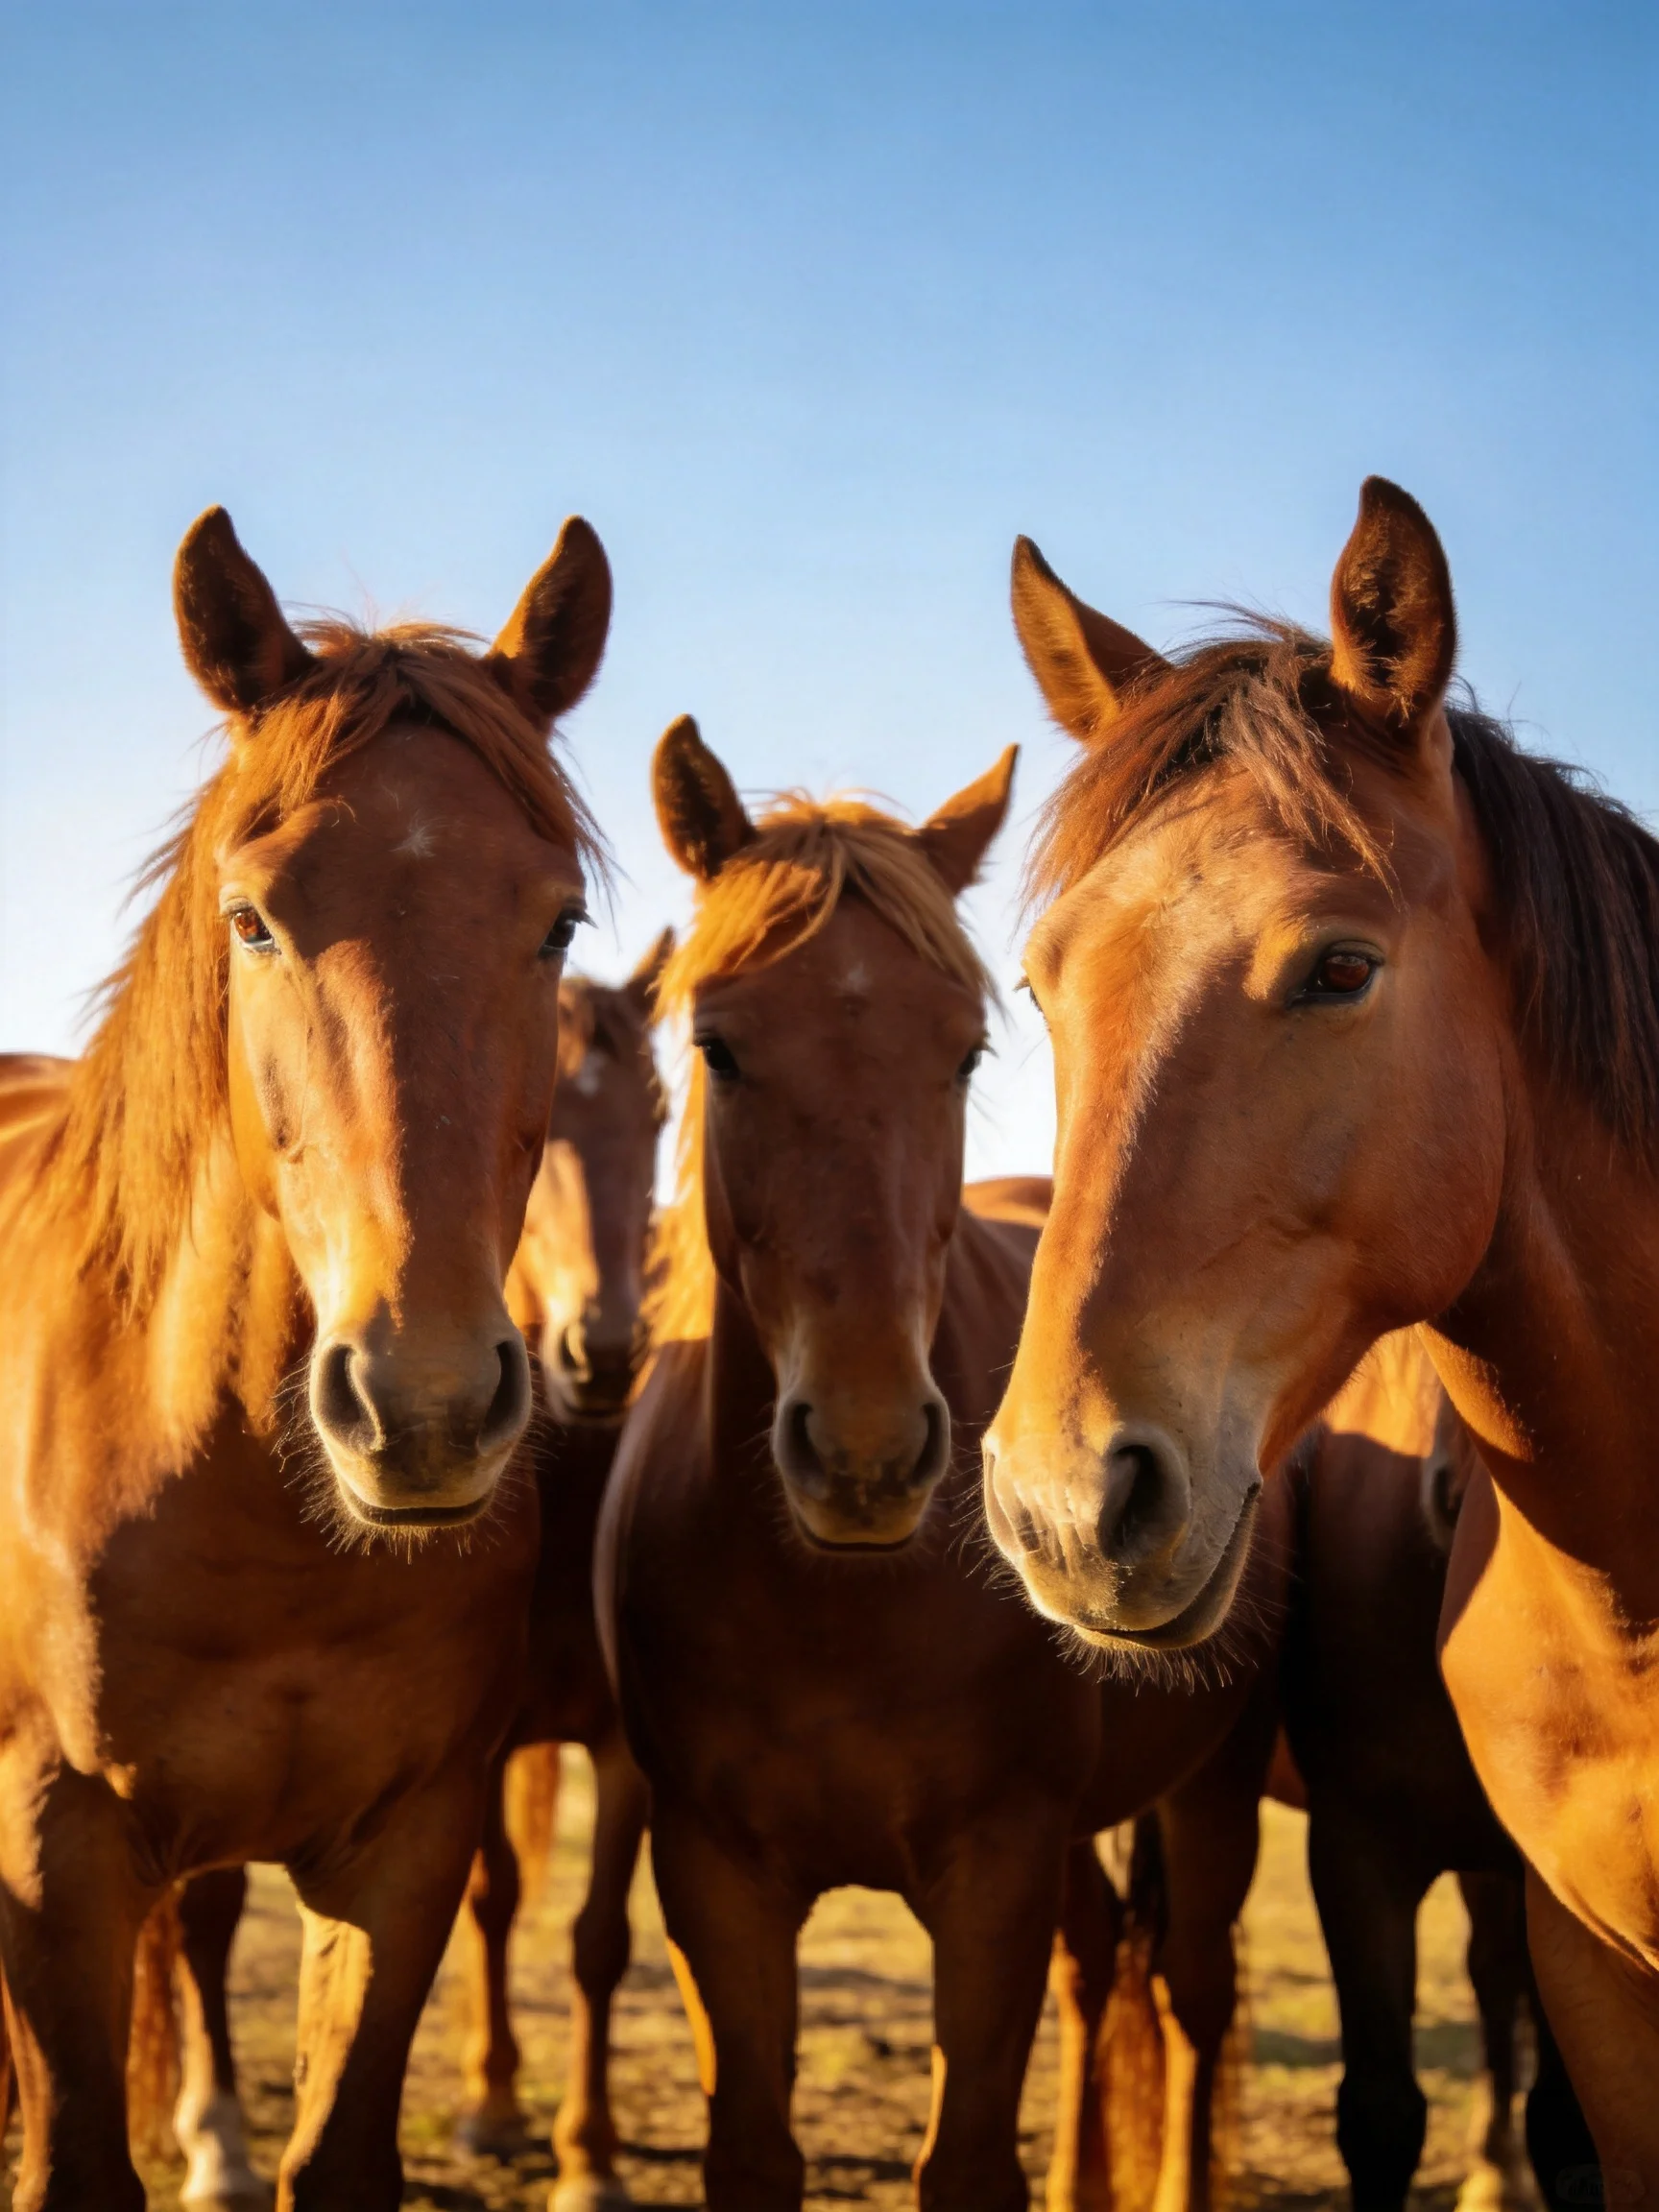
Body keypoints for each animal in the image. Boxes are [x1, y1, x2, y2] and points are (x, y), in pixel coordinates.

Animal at [596, 718, 1290, 2212]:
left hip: (1214, 1785)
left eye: (966, 1053)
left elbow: (967, 2155)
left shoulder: (995, 1871)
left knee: (1193, 1999)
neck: (835, 1612)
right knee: (1103, 1968)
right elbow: (754, 2150)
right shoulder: (713, 1874)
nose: (865, 1453)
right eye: (718, 1046)